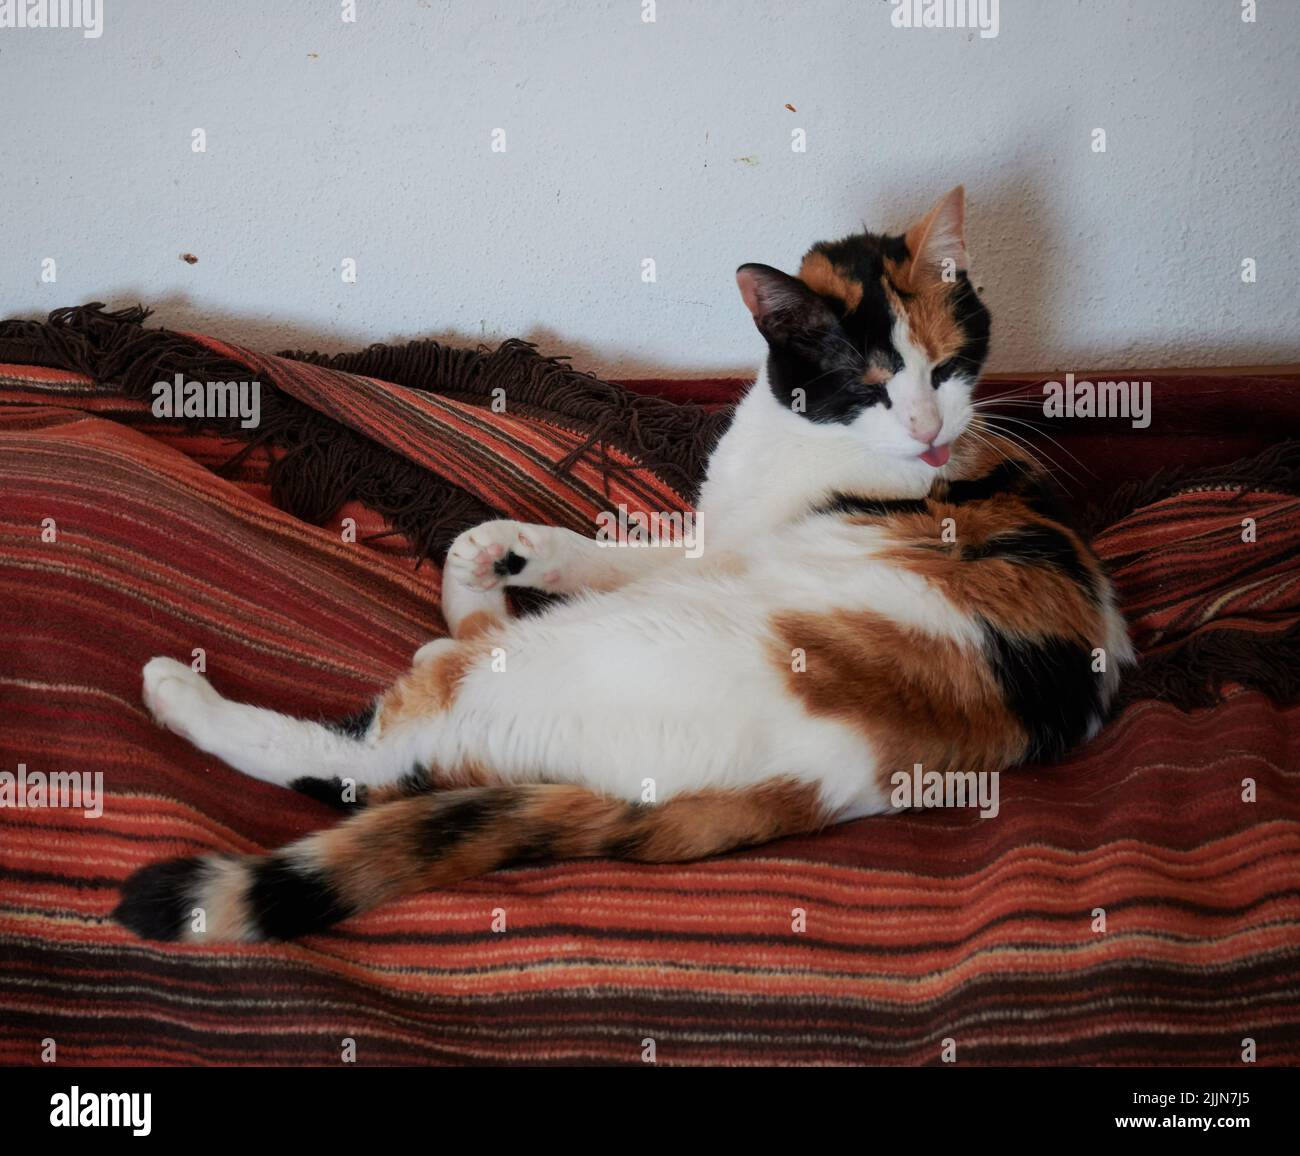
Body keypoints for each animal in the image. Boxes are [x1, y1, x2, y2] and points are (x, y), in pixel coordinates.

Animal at [114, 189, 1128, 941]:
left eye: (949, 368)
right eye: (874, 382)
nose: (927, 432)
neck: (808, 438)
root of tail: (800, 792)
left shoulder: (734, 552)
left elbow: (628, 561)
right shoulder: (717, 536)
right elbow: (613, 547)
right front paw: (506, 546)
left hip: (570, 662)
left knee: (372, 752)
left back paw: (185, 691)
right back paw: (477, 582)